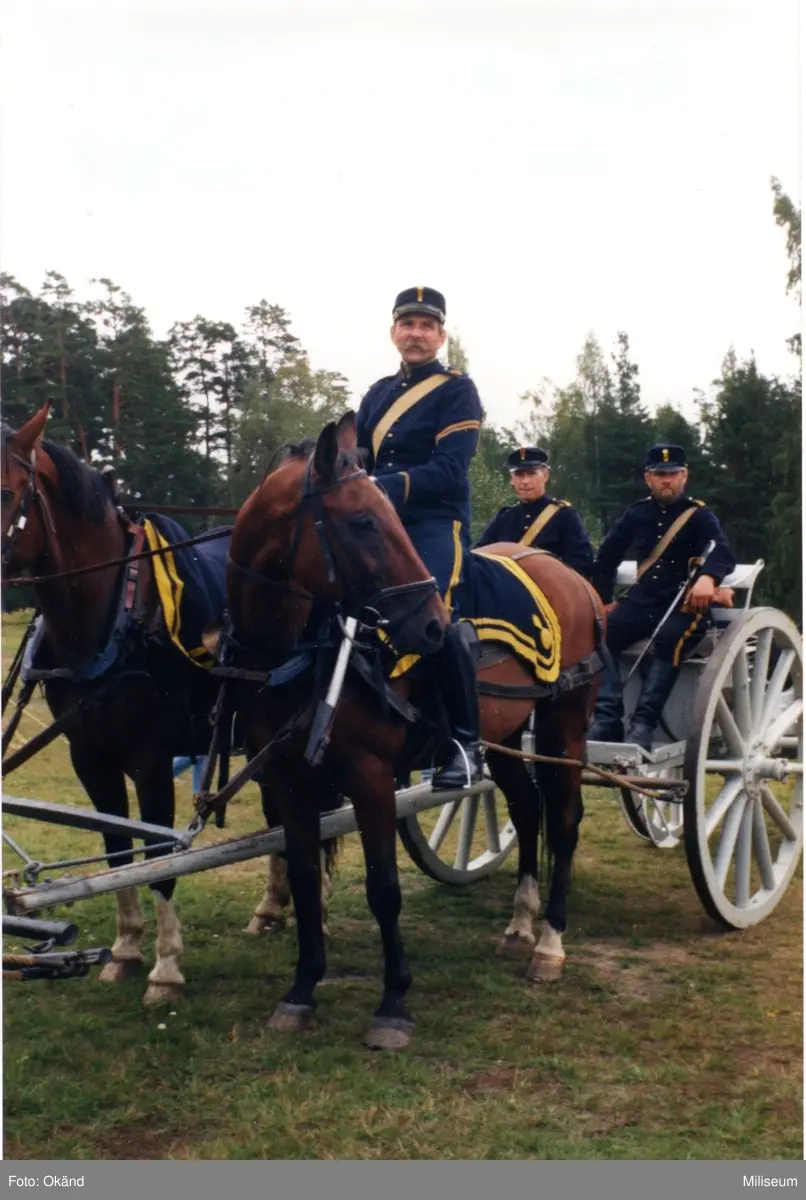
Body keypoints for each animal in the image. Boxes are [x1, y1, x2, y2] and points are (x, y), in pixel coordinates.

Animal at [2, 408, 226, 1008]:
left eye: (7, 492)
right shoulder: (90, 756)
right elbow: (118, 851)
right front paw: (126, 949)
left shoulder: (151, 759)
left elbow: (159, 857)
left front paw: (166, 968)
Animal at [226, 412, 604, 1051]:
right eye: (362, 521)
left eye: (387, 515)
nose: (431, 625)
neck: (300, 653)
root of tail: (575, 577)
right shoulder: (289, 782)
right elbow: (303, 879)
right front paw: (301, 990)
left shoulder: (372, 780)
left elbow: (384, 888)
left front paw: (394, 1002)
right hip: (505, 737)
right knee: (527, 809)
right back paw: (520, 923)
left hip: (565, 724)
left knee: (566, 818)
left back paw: (551, 943)